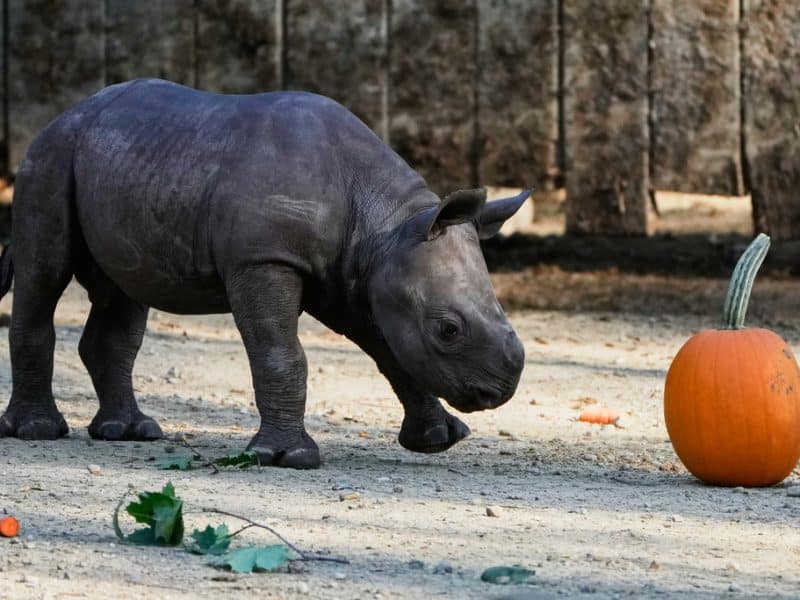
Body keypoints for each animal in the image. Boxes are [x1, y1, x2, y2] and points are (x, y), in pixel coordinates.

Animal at [0, 79, 527, 468]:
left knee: (124, 296)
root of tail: (66, 114)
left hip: (123, 163)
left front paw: (439, 439)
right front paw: (287, 457)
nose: (502, 388)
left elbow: (392, 353)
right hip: (50, 158)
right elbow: (280, 352)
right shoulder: (263, 259)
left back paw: (129, 433)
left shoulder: (357, 278)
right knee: (44, 272)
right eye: (448, 330)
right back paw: (38, 432)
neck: (386, 225)